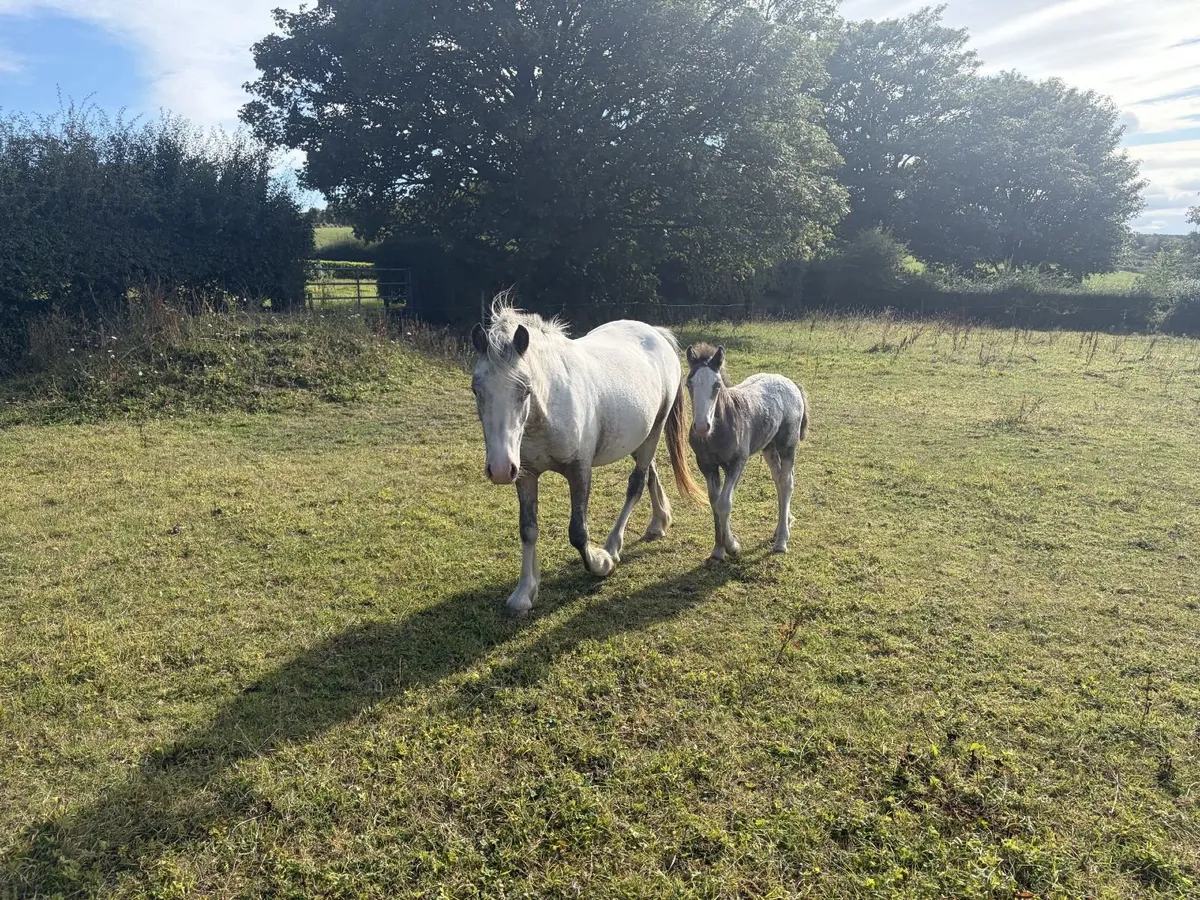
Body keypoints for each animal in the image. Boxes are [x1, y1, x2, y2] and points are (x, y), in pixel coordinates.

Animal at [470, 299, 704, 613]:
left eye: (525, 390)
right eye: (476, 389)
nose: (498, 468)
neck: (551, 405)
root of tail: (656, 333)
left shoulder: (579, 470)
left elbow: (578, 532)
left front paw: (601, 563)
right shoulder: (525, 473)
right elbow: (528, 529)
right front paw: (523, 593)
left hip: (655, 429)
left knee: (637, 483)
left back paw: (613, 546)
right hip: (639, 437)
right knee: (651, 472)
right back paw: (658, 523)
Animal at [684, 342, 808, 560]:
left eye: (717, 385)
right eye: (689, 384)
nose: (701, 427)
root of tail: (789, 382)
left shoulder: (737, 462)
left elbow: (724, 503)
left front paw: (732, 546)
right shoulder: (706, 465)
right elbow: (714, 502)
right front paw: (718, 550)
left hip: (787, 445)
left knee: (787, 483)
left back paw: (781, 540)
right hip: (768, 447)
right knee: (778, 479)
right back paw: (783, 525)